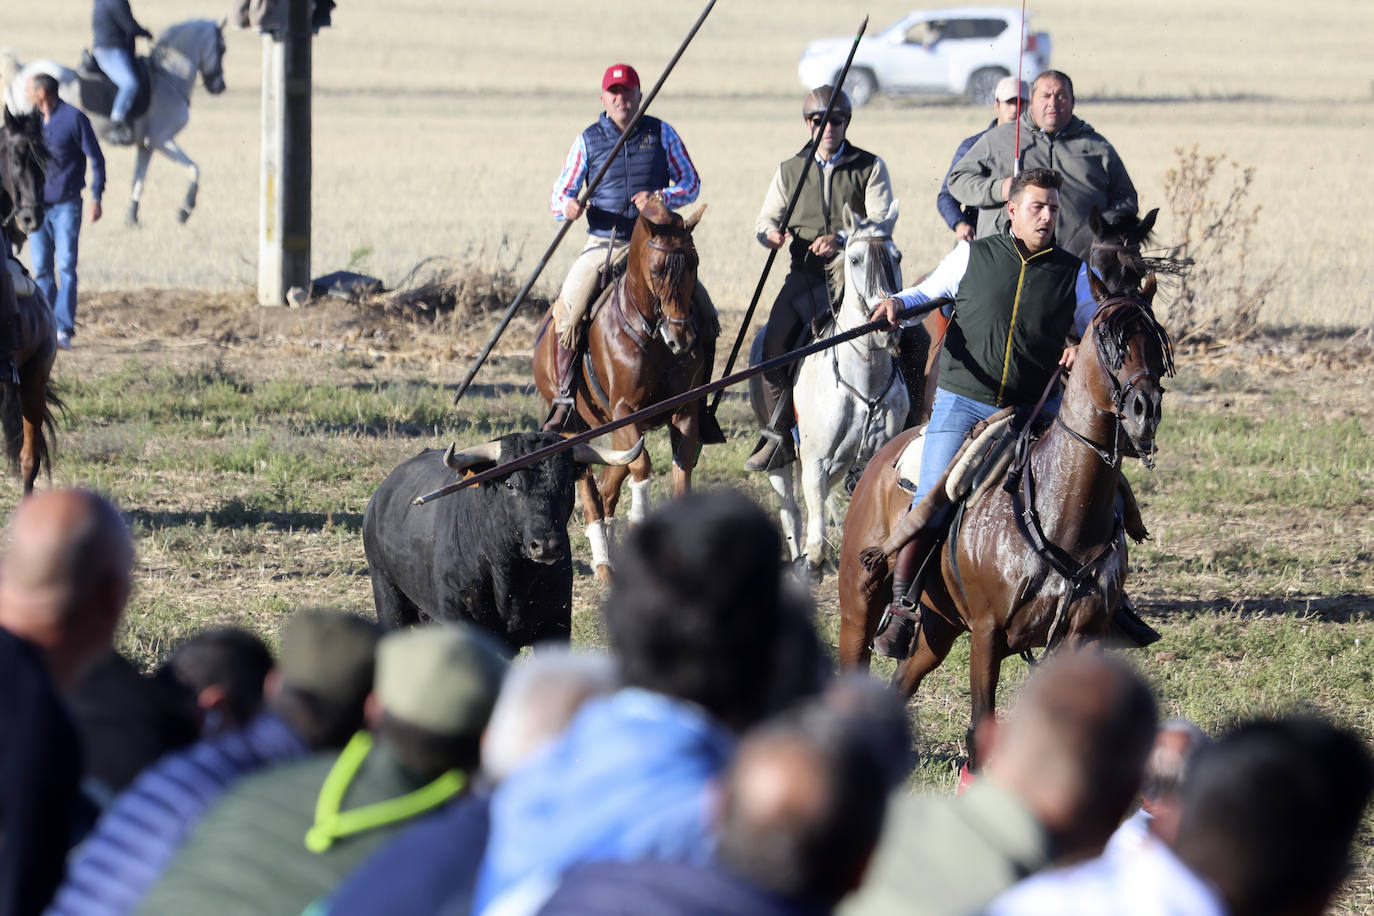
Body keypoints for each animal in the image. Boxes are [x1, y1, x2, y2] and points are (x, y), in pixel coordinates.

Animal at [4, 19, 225, 225]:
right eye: (222, 48)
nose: (219, 86)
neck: (167, 77)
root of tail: (21, 72)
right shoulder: (162, 140)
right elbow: (194, 168)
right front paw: (185, 209)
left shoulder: (147, 146)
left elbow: (138, 180)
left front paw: (131, 218)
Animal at [365, 431, 643, 650]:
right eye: (510, 484)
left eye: (566, 485)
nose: (546, 546)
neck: (511, 579)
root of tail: (379, 497)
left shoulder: (557, 626)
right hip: (388, 598)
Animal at [530, 200, 714, 585]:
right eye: (657, 270)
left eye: (694, 264)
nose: (682, 340)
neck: (652, 334)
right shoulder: (626, 410)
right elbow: (642, 466)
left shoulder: (684, 412)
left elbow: (680, 472)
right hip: (574, 426)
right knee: (591, 486)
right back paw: (604, 563)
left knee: (609, 478)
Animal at [769, 201, 906, 579]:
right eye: (856, 259)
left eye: (897, 256)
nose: (884, 323)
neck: (863, 383)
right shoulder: (814, 462)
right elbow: (815, 532)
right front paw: (810, 565)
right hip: (781, 463)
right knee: (791, 511)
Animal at [829, 276, 1176, 763]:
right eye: (1107, 338)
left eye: (1156, 339)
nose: (1145, 409)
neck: (1060, 514)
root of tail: (879, 458)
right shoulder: (987, 634)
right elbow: (981, 730)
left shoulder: (1081, 636)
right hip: (860, 603)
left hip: (939, 626)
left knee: (902, 680)